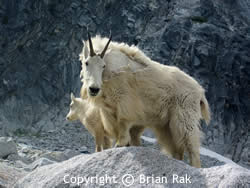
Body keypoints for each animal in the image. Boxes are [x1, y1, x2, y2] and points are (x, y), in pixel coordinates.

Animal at [79, 32, 210, 167]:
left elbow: (123, 122)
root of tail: (200, 91)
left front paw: (121, 144)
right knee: (176, 150)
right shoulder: (108, 110)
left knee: (192, 146)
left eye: (103, 66)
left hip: (185, 116)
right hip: (165, 126)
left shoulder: (125, 102)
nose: (93, 89)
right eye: (86, 63)